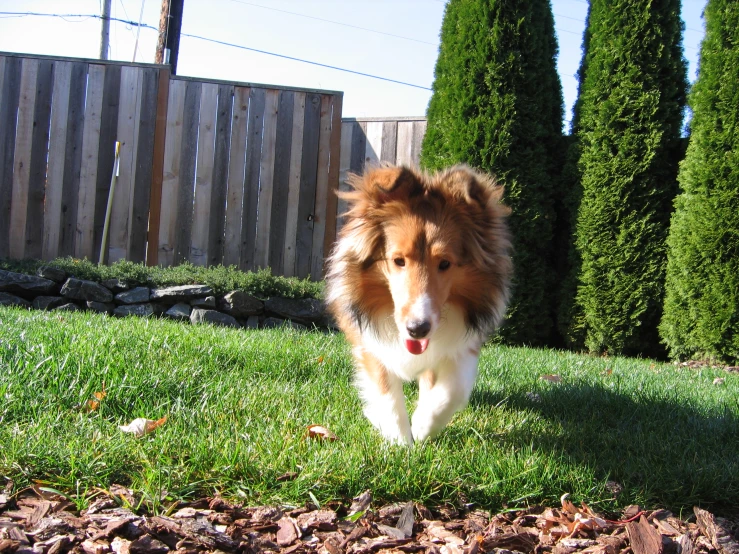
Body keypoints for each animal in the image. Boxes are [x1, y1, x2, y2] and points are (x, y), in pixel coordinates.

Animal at [326, 164, 512, 444]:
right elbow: (386, 390)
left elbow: (453, 389)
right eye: (398, 260)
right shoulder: (370, 342)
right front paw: (401, 440)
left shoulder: (463, 343)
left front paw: (423, 427)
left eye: (445, 263)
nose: (417, 329)